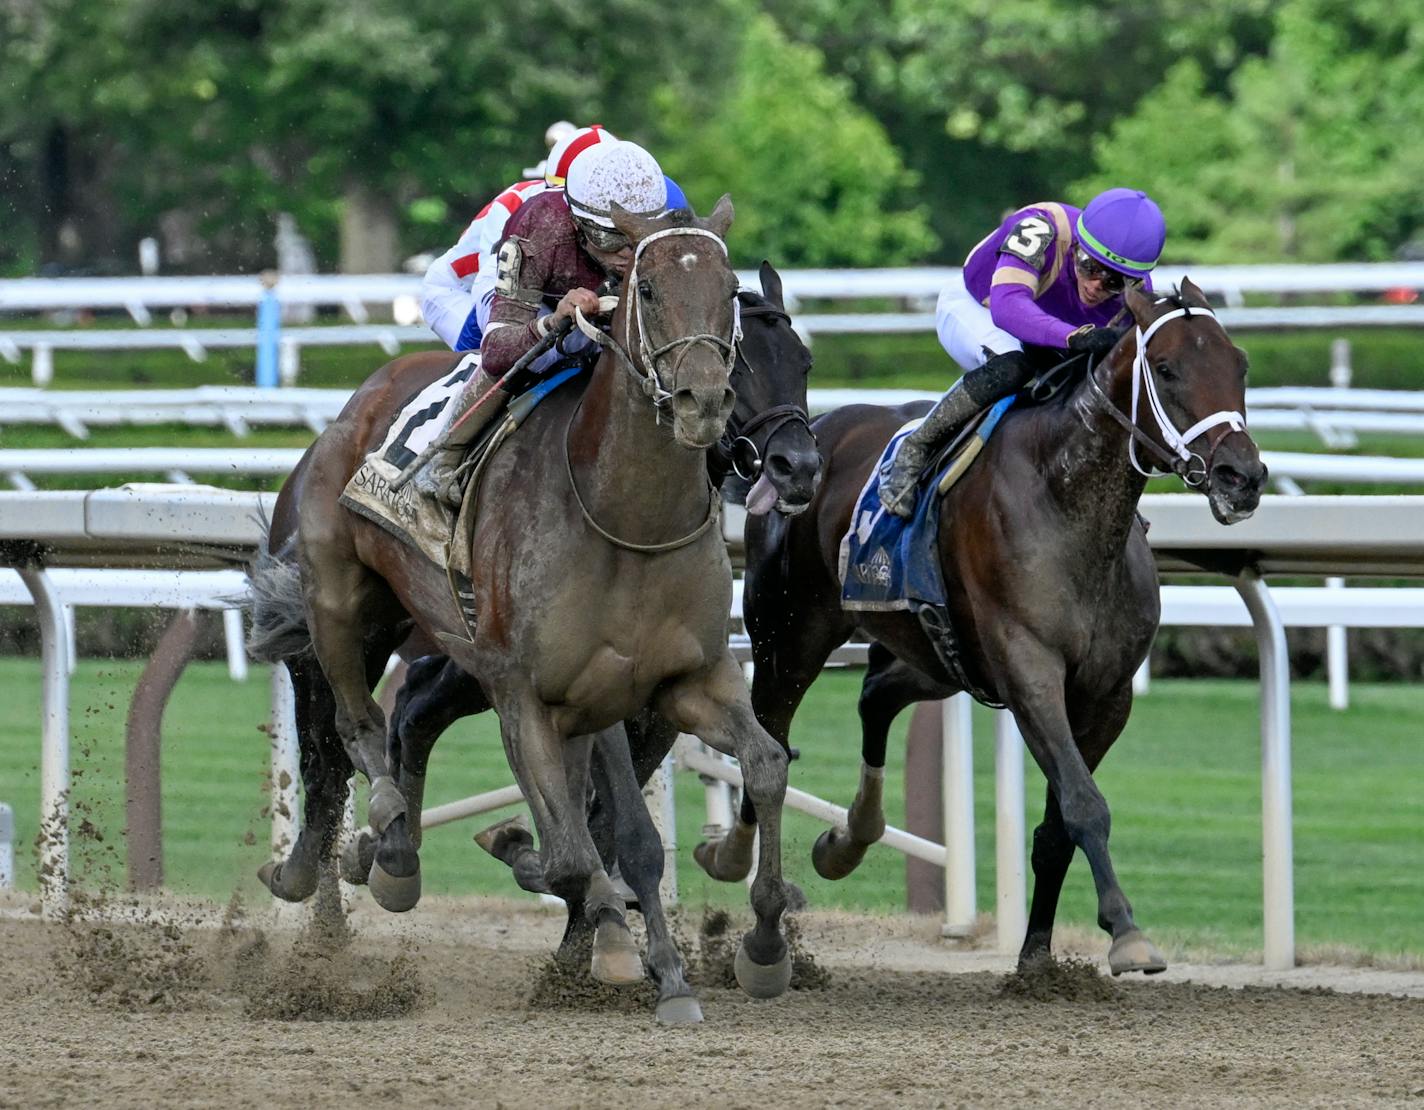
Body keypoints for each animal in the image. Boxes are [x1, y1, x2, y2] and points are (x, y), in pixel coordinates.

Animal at [252, 202, 797, 1025]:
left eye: (729, 292)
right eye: (648, 292)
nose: (703, 404)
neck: (624, 521)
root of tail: (355, 406)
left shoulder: (682, 682)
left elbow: (754, 771)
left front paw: (751, 947)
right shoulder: (526, 695)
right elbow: (575, 851)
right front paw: (600, 930)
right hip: (343, 604)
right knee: (351, 729)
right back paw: (376, 844)